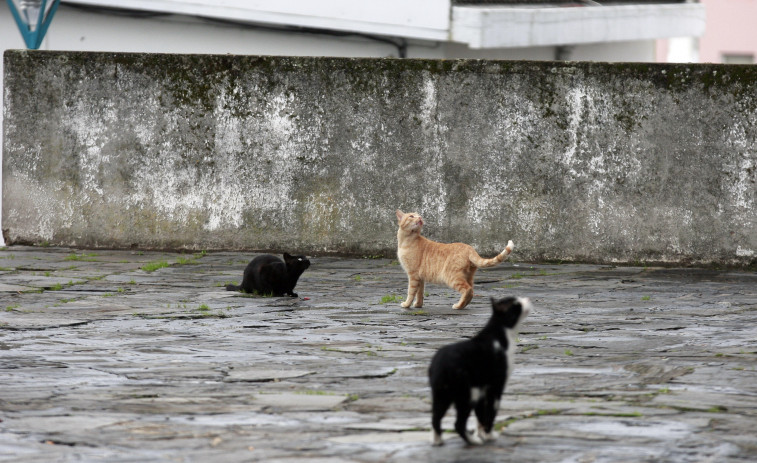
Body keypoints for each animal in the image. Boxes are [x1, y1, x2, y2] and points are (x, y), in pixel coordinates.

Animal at [428, 298, 528, 446]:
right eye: (517, 304)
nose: (526, 299)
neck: (496, 332)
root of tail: (441, 364)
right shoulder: (495, 386)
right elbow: (490, 413)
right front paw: (489, 436)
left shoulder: (482, 389)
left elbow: (481, 416)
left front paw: (482, 434)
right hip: (467, 394)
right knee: (458, 423)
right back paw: (473, 441)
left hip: (442, 394)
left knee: (435, 418)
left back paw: (438, 441)